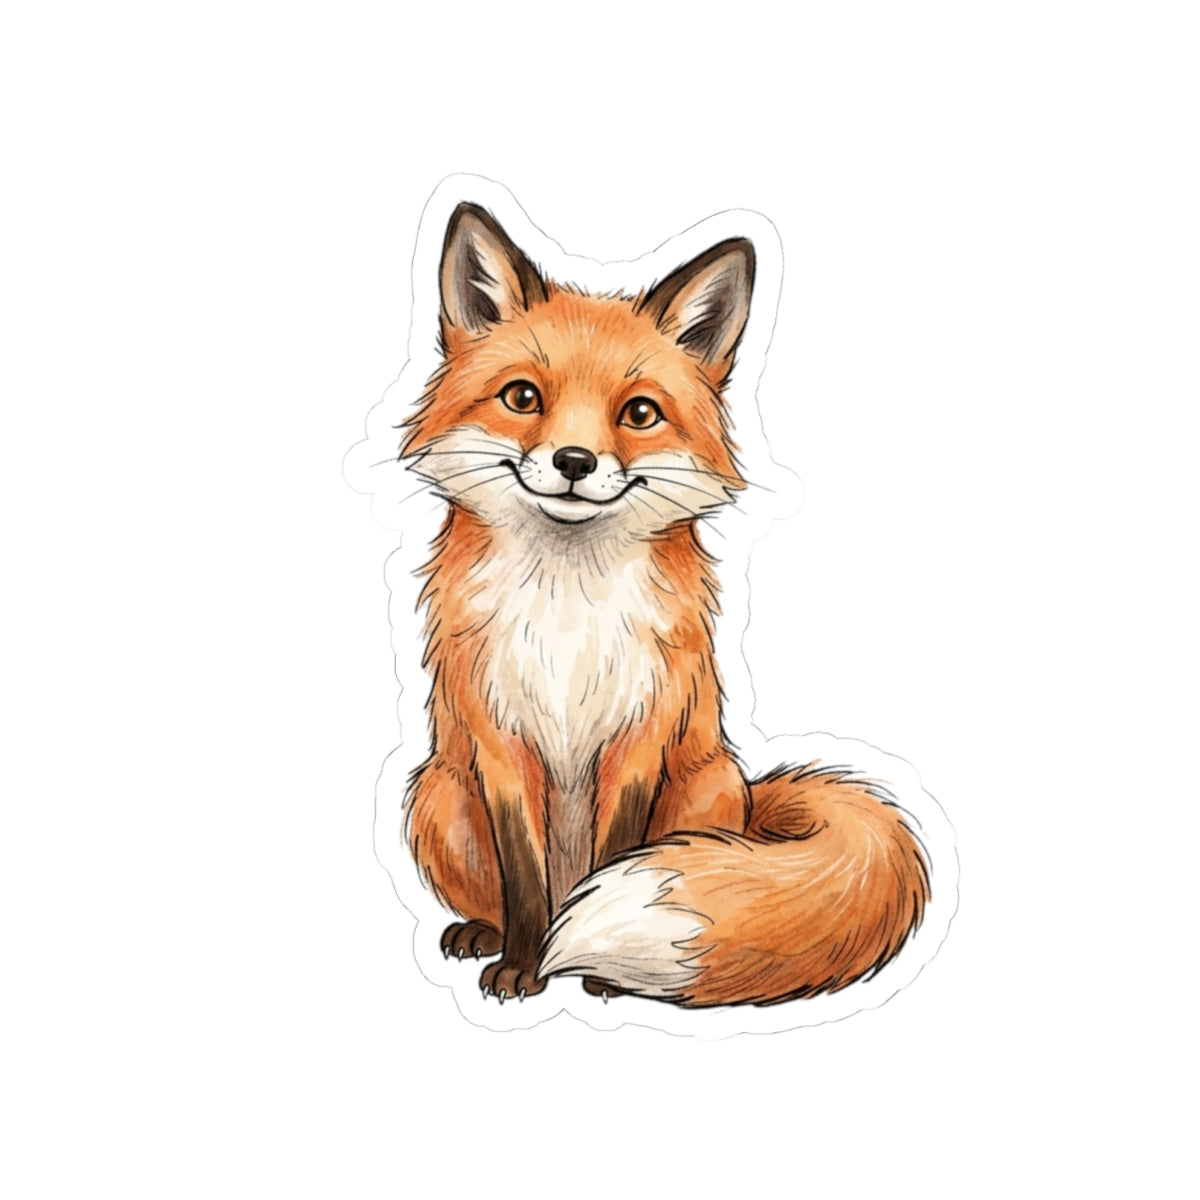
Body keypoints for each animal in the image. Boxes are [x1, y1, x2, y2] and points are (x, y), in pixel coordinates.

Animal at [398, 201, 931, 1007]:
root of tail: (752, 797)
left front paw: (592, 973)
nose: (575, 462)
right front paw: (525, 962)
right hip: (438, 798)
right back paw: (484, 934)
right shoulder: (500, 741)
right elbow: (524, 877)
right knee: (491, 891)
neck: (567, 613)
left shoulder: (640, 731)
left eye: (640, 412)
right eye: (523, 398)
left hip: (704, 791)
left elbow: (612, 854)